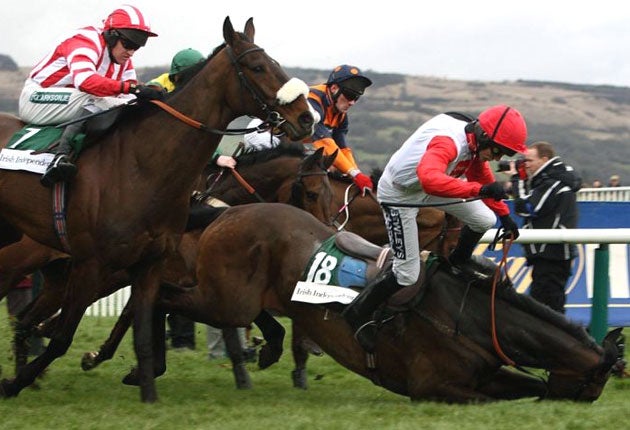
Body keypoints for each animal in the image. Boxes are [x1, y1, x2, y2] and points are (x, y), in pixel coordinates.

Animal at [0, 17, 314, 402]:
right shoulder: (92, 265)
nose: (306, 117)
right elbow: (62, 338)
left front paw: (148, 393)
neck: (142, 166)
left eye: (276, 63)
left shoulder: (149, 264)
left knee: (25, 319)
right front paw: (14, 383)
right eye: (257, 67)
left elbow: (144, 336)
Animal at [158, 202, 621, 403]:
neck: (471, 315)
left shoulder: (487, 374)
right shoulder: (431, 386)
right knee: (164, 296)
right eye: (591, 387)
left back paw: (268, 347)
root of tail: (228, 210)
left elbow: (532, 386)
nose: (578, 407)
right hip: (224, 298)